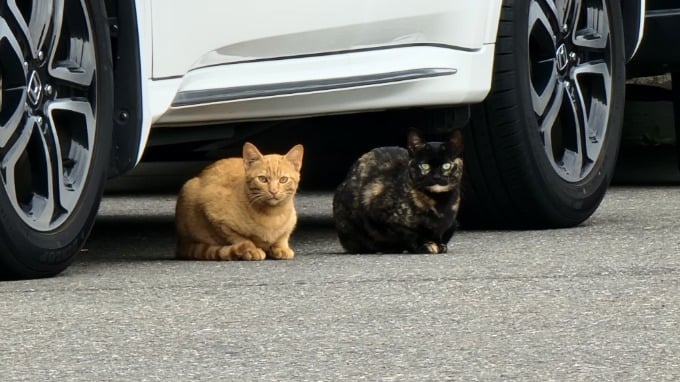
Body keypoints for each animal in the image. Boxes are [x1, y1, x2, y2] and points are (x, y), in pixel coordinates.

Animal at [334, 130, 464, 255]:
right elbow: (409, 233)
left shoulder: (449, 224)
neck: (440, 204)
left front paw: (440, 244)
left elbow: (440, 234)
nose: (436, 177)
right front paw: (425, 245)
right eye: (424, 166)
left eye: (446, 166)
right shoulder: (378, 212)